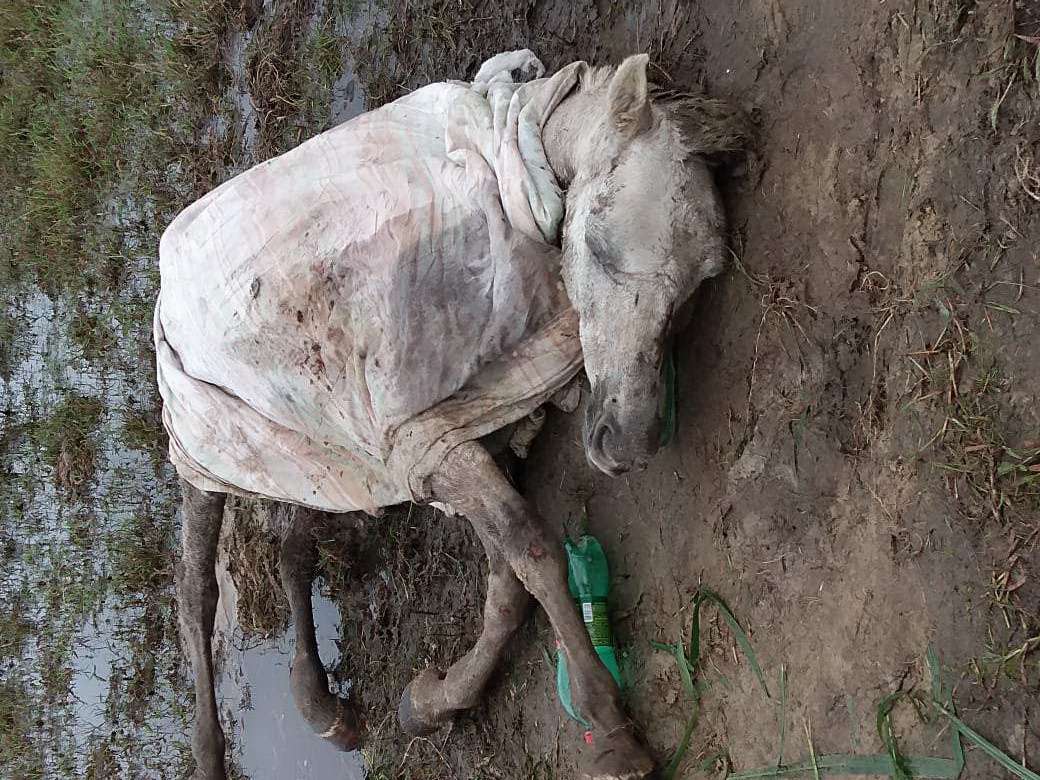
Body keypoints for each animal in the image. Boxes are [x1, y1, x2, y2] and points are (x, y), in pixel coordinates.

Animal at [159, 51, 737, 780]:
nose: (627, 443)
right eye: (601, 252)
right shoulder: (420, 439)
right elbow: (533, 551)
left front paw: (434, 702)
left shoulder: (464, 421)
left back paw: (322, 707)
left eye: (698, 288)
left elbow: (509, 578)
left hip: (311, 445)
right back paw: (211, 748)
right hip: (206, 456)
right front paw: (610, 730)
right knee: (194, 598)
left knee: (291, 542)